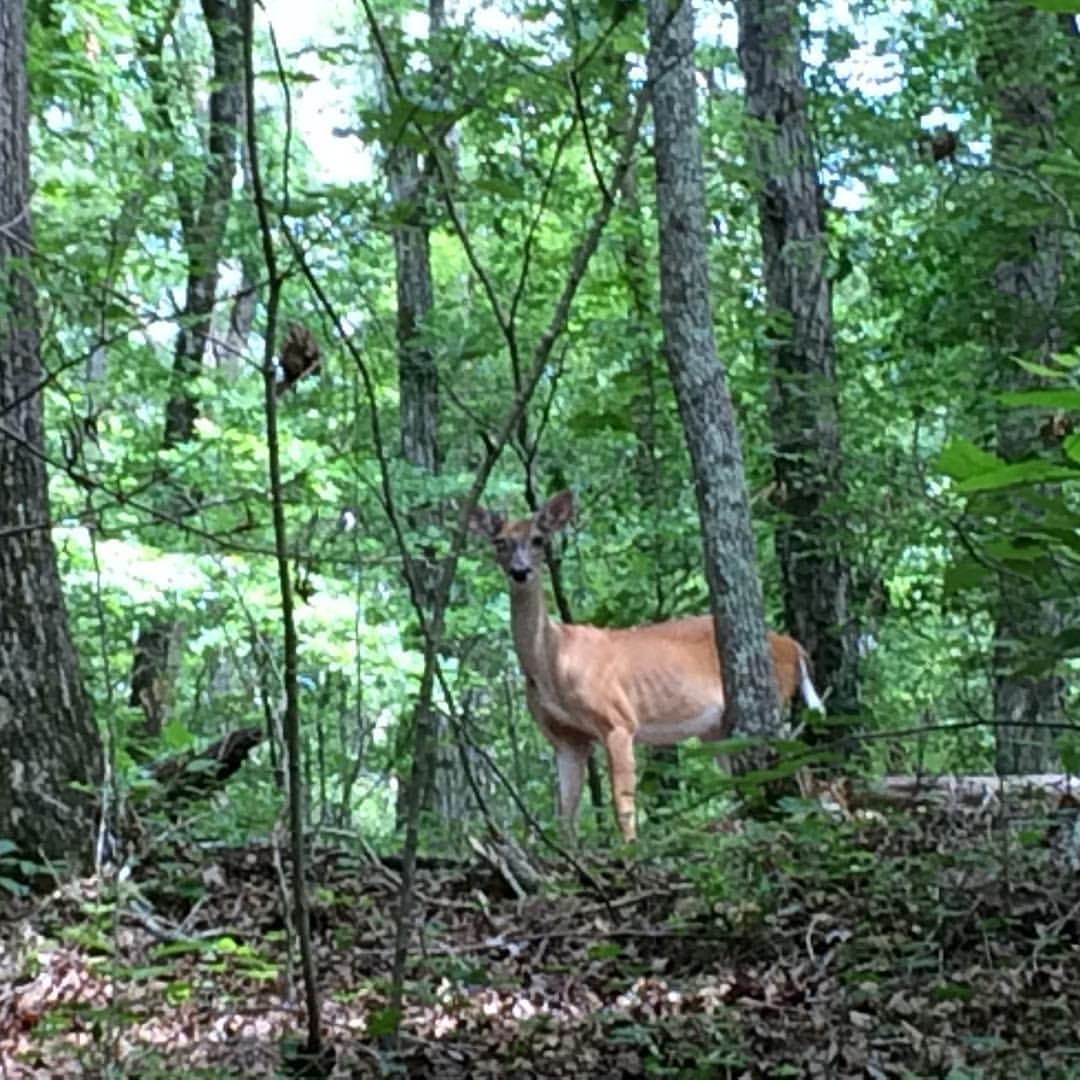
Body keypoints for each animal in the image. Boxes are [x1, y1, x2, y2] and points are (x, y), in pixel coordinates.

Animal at [468, 489, 823, 842]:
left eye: (539, 539)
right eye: (500, 542)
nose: (520, 570)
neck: (553, 660)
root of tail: (793, 645)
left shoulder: (618, 720)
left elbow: (622, 806)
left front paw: (630, 851)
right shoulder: (567, 739)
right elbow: (564, 816)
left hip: (773, 700)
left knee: (800, 768)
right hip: (716, 730)